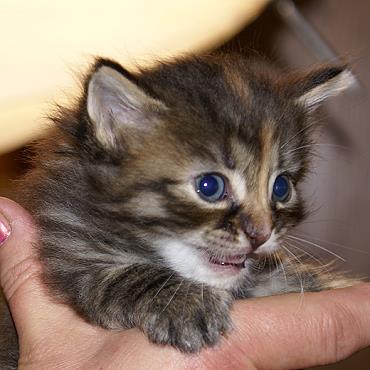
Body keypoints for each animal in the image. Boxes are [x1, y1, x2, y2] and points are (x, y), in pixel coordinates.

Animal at [2, 52, 356, 368]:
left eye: (281, 187)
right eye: (209, 186)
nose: (261, 233)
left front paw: (322, 282)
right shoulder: (69, 256)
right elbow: (122, 275)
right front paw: (188, 302)